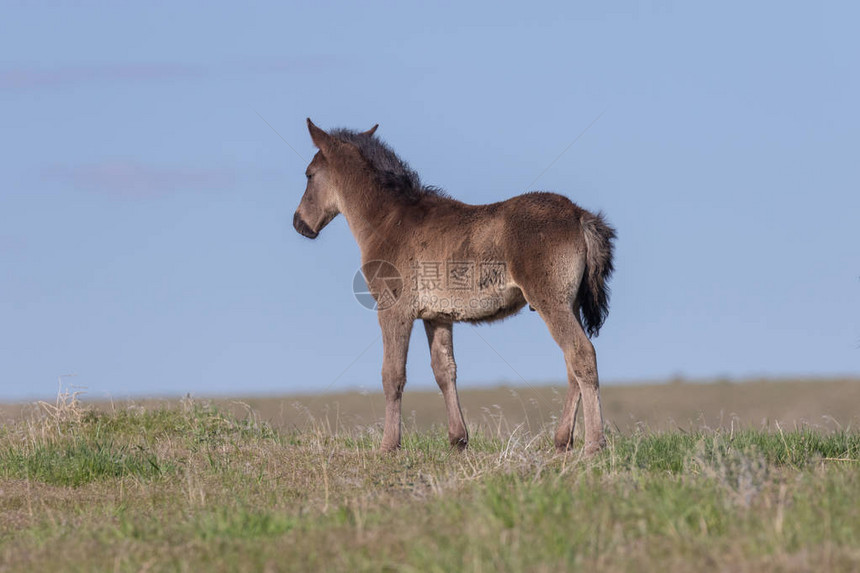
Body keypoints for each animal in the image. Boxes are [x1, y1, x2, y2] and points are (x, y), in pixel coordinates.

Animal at [292, 120, 616, 456]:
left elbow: (392, 374)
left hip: (552, 302)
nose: (300, 224)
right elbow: (444, 371)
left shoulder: (393, 309)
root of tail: (579, 215)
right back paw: (563, 440)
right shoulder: (436, 315)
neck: (389, 221)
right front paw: (458, 440)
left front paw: (388, 445)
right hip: (570, 304)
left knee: (581, 355)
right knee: (571, 365)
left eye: (309, 174)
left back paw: (594, 444)